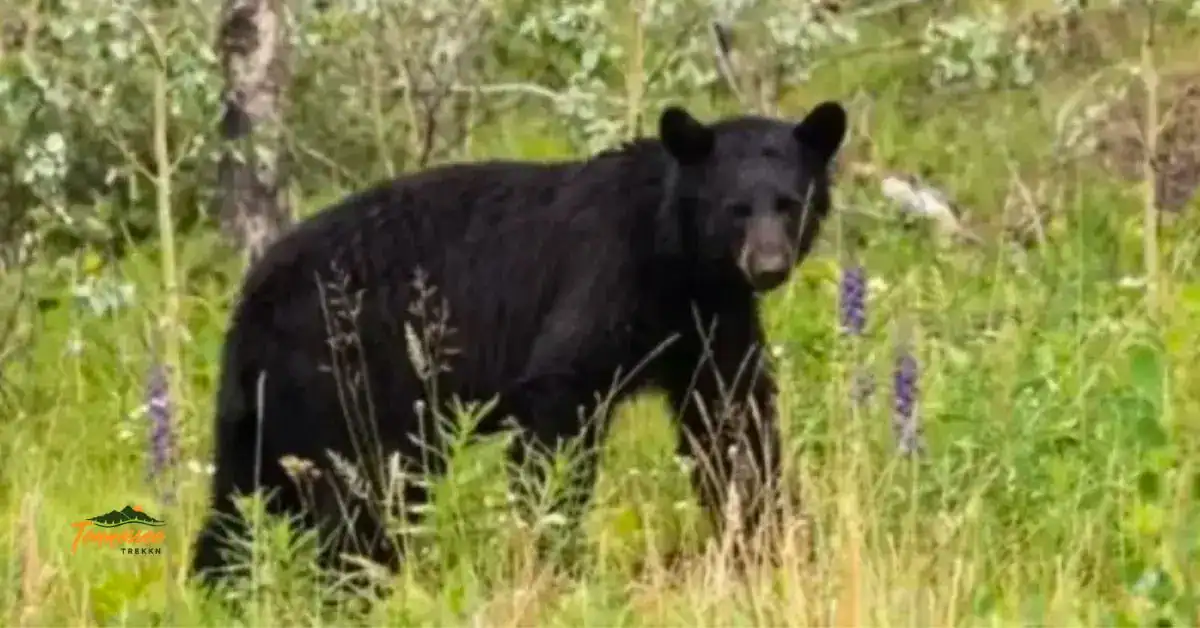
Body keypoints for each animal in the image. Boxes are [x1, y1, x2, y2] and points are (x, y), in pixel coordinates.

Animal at [190, 100, 849, 594]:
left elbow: (733, 423)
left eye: (789, 203)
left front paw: (771, 540)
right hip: (342, 380)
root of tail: (250, 298)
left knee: (241, 501)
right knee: (359, 500)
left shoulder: (712, 322)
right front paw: (551, 546)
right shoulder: (604, 278)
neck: (678, 262)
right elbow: (560, 404)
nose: (768, 265)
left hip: (270, 410)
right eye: (735, 209)